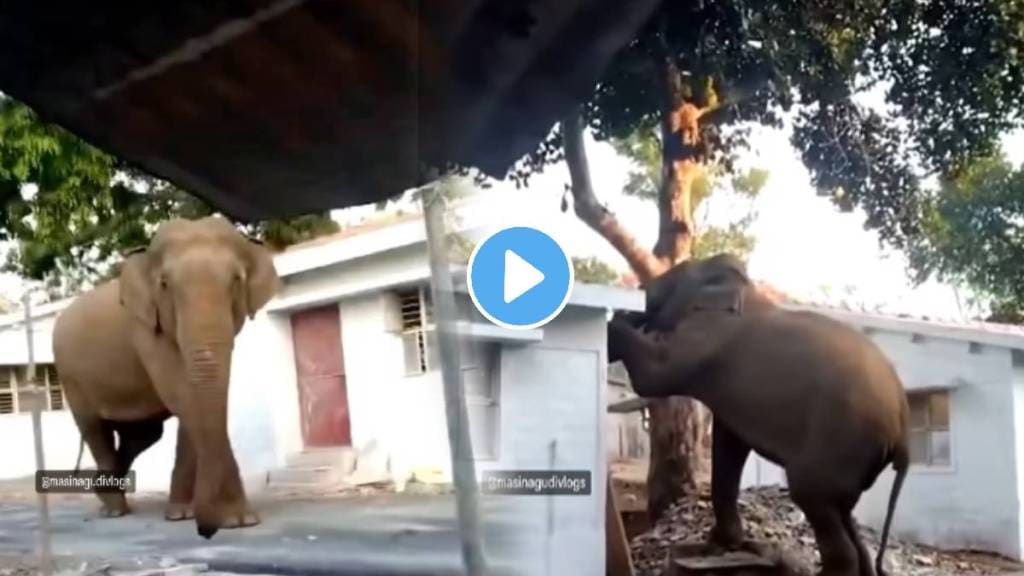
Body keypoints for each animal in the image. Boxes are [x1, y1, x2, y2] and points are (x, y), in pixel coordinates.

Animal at [52, 215, 280, 537]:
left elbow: (191, 403)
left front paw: (185, 514)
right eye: (164, 284)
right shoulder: (145, 327)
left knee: (142, 435)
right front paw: (236, 519)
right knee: (94, 429)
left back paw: (104, 495)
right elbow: (182, 395)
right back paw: (114, 510)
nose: (207, 529)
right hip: (71, 377)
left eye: (236, 280)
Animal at [606, 254, 913, 573]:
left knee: (813, 497)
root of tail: (903, 432)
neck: (743, 286)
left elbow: (654, 376)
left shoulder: (708, 337)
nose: (632, 308)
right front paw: (720, 545)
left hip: (841, 443)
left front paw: (614, 324)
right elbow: (729, 446)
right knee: (843, 513)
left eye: (666, 284)